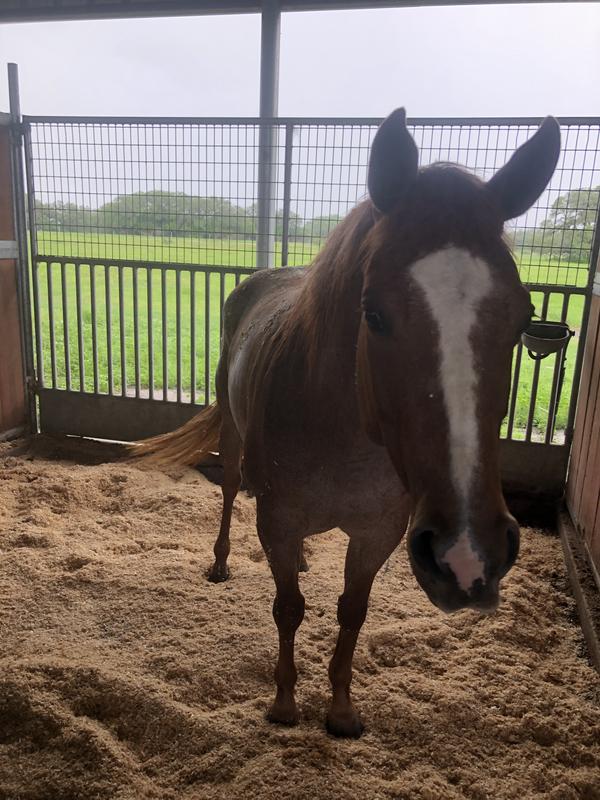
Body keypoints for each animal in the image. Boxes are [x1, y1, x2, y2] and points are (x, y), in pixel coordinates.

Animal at [133, 109, 560, 738]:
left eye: (522, 317)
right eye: (373, 314)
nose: (468, 555)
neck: (343, 432)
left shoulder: (378, 532)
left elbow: (351, 611)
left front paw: (340, 709)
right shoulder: (279, 519)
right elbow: (289, 608)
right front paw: (284, 703)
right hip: (234, 439)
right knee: (232, 489)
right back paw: (221, 562)